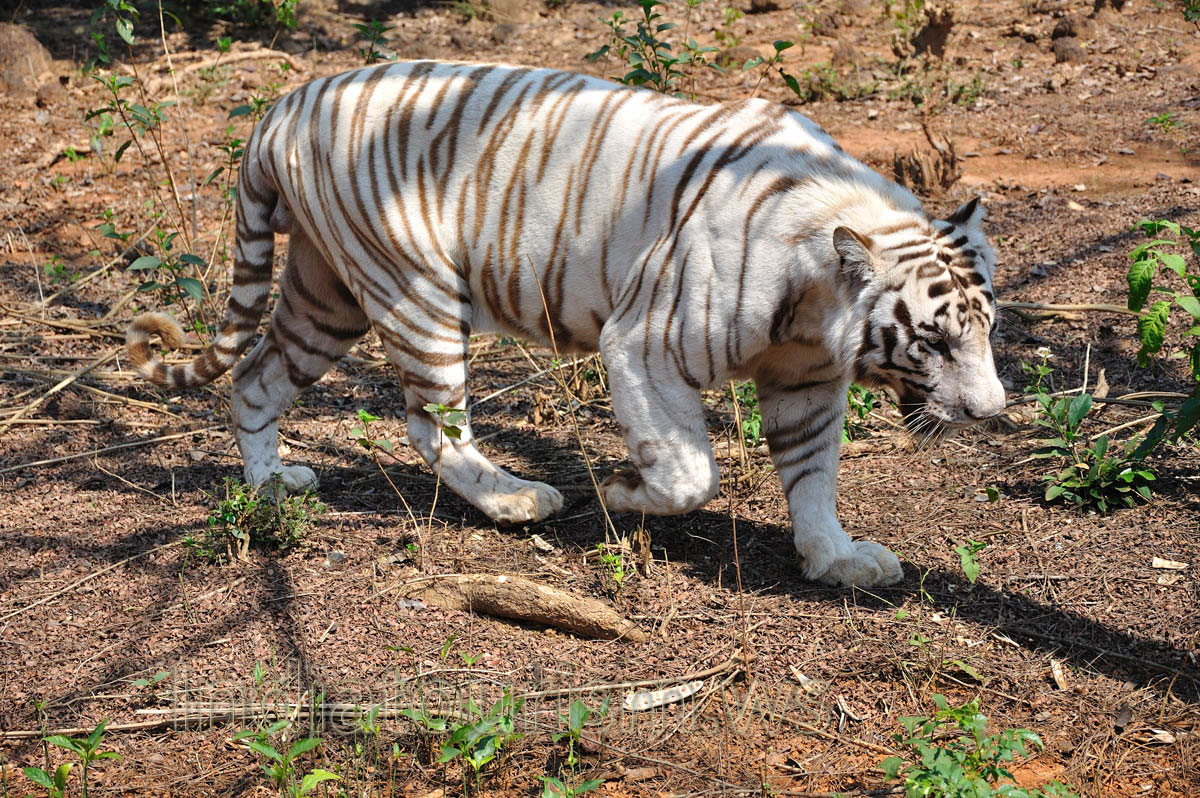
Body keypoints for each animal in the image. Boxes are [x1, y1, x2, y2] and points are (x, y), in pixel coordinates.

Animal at [126, 60, 1006, 588]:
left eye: (986, 331)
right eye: (933, 339)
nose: (991, 411)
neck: (819, 300)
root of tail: (281, 105)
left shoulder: (807, 380)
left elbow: (814, 475)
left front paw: (836, 558)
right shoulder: (645, 345)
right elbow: (690, 473)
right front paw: (622, 492)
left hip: (324, 296)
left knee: (255, 380)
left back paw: (272, 488)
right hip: (414, 288)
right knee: (429, 423)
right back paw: (517, 500)